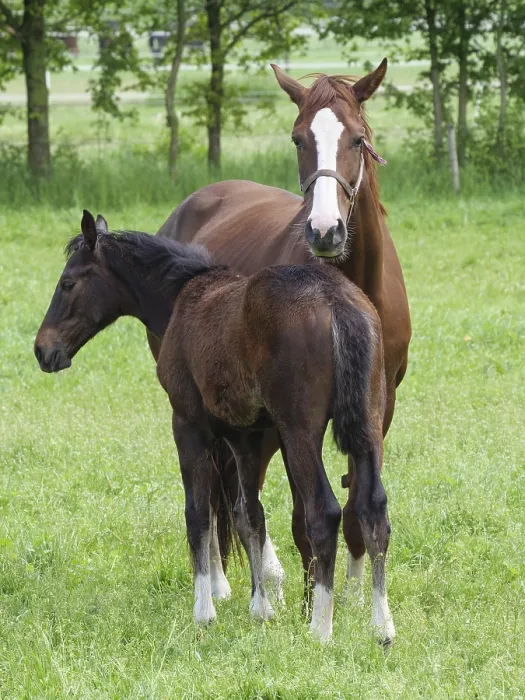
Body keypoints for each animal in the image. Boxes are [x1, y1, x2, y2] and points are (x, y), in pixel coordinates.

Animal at [34, 210, 395, 644]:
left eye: (68, 283)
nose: (43, 350)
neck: (184, 297)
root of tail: (335, 298)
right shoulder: (246, 436)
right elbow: (249, 514)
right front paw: (261, 607)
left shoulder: (187, 424)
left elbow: (198, 513)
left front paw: (204, 610)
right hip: (369, 426)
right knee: (373, 510)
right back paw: (382, 627)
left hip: (301, 431)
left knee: (323, 512)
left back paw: (320, 628)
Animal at [150, 59, 411, 607]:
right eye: (297, 139)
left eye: (358, 139)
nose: (325, 230)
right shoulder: (291, 416)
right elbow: (299, 510)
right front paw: (315, 597)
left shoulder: (380, 405)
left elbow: (358, 499)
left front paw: (353, 593)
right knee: (221, 483)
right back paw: (230, 580)